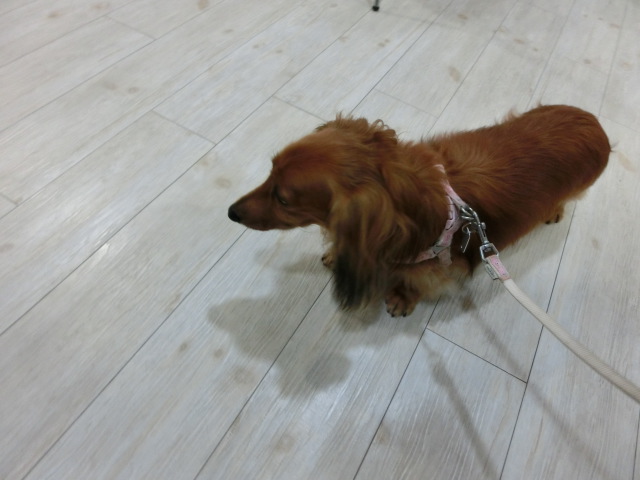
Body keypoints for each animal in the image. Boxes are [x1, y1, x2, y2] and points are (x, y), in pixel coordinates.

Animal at [228, 105, 610, 316]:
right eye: (270, 170)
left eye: (283, 199)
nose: (231, 213)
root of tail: (594, 122)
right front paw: (336, 252)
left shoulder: (437, 267)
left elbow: (417, 282)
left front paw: (401, 298)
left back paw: (554, 211)